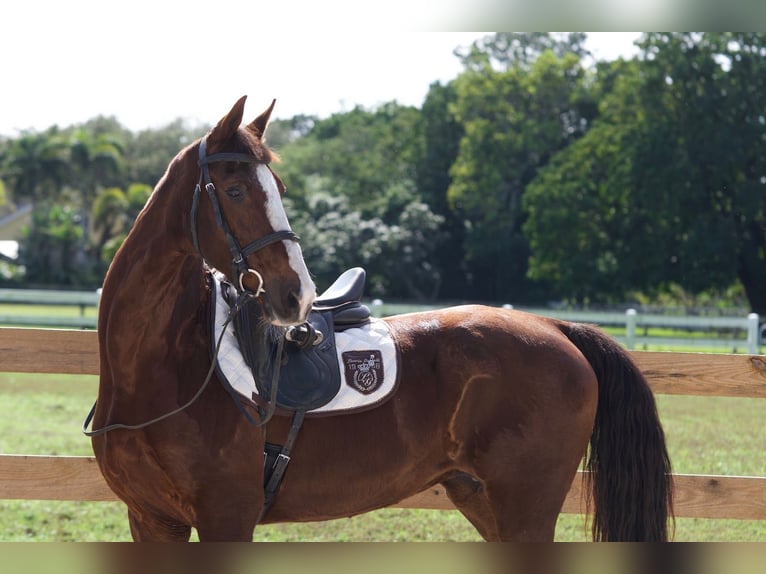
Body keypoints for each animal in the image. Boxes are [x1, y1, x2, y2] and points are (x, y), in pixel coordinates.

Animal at [89, 96, 673, 542]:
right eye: (234, 190)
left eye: (278, 189)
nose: (297, 295)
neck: (163, 372)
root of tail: (557, 329)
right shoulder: (152, 520)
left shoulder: (224, 519)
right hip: (481, 499)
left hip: (524, 511)